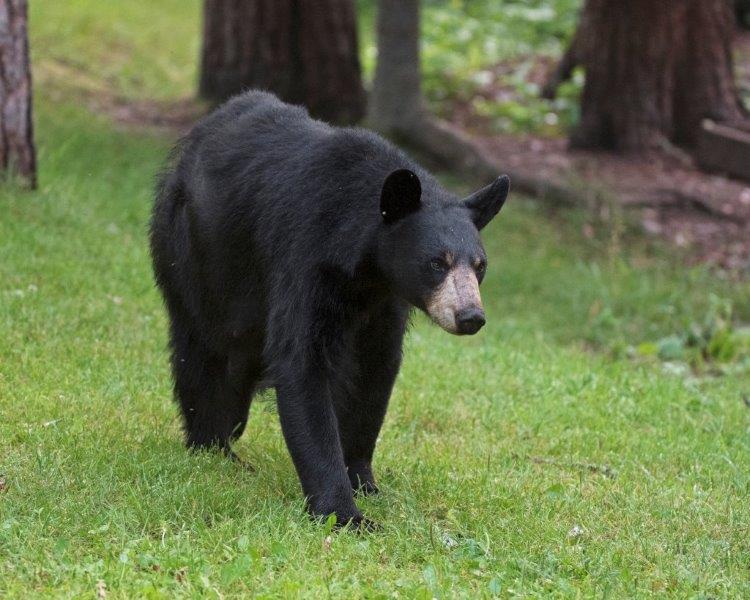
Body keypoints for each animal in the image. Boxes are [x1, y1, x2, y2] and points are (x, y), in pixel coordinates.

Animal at [149, 91, 509, 529]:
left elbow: (375, 372)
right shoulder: (305, 256)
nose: (470, 316)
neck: (366, 269)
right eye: (436, 263)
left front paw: (365, 482)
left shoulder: (385, 302)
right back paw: (214, 447)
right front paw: (344, 513)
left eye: (480, 265)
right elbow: (302, 364)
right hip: (195, 254)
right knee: (204, 351)